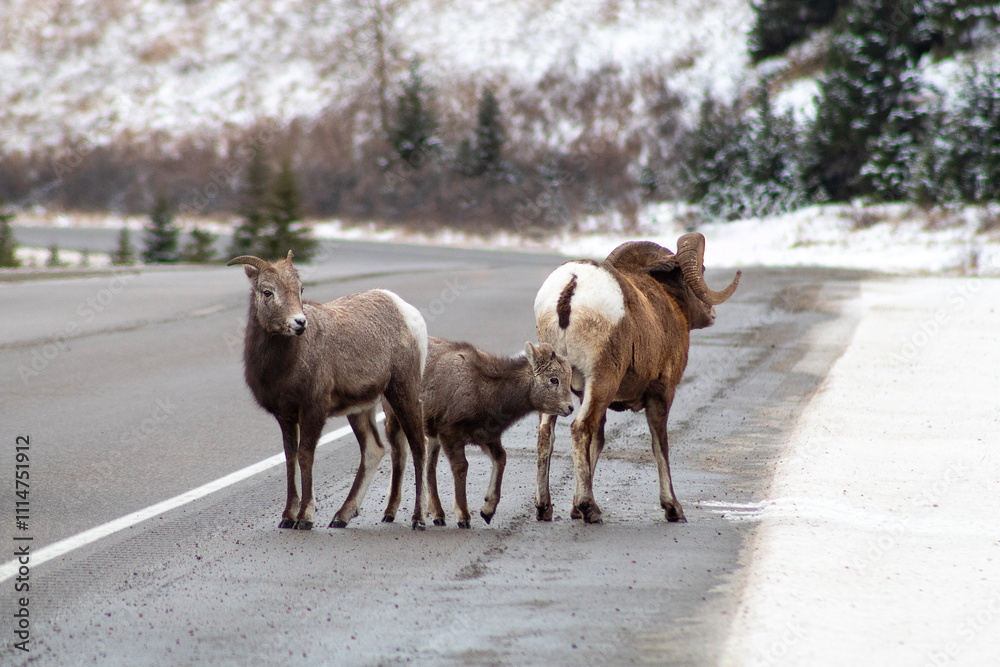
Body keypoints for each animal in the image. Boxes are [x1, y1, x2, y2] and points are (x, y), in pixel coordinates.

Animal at [228, 251, 428, 530]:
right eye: (267, 291)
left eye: (300, 289)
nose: (299, 323)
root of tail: (406, 310)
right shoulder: (285, 415)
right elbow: (290, 458)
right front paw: (287, 517)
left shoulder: (313, 409)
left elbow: (305, 456)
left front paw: (304, 518)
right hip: (361, 408)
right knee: (374, 449)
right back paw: (342, 517)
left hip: (403, 391)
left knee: (418, 445)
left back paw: (418, 519)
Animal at [387, 337, 573, 528]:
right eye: (554, 379)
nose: (570, 407)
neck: (485, 393)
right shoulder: (450, 432)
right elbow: (461, 466)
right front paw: (464, 517)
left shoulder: (487, 436)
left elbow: (501, 458)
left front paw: (487, 511)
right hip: (395, 417)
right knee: (398, 456)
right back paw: (390, 513)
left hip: (430, 434)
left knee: (429, 464)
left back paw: (438, 515)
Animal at [532, 233, 741, 524]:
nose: (711, 314)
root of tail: (571, 286)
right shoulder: (661, 394)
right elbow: (659, 444)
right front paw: (673, 509)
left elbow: (598, 441)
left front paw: (573, 509)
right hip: (602, 382)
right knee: (580, 429)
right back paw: (590, 509)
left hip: (557, 385)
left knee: (546, 436)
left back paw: (545, 508)